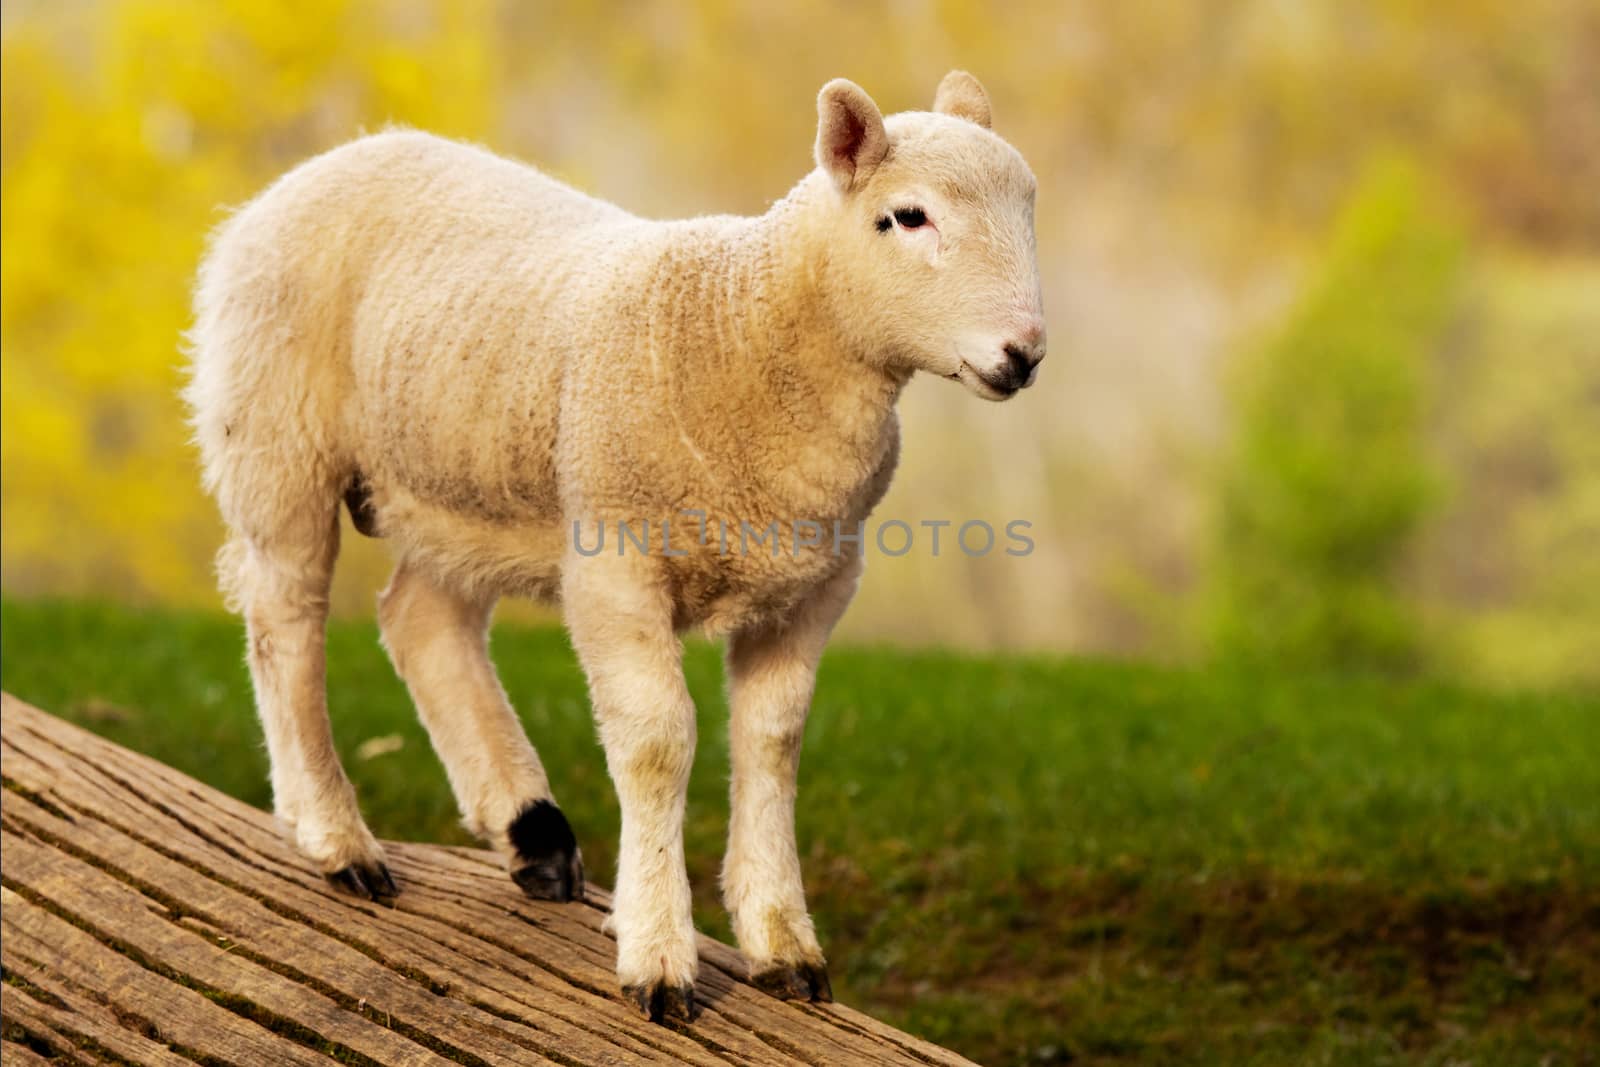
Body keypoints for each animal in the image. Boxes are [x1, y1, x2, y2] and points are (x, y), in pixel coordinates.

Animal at [184, 70, 1049, 1023]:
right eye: (907, 217)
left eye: (1028, 208)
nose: (1025, 354)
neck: (746, 323)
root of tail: (325, 164)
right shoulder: (615, 561)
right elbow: (658, 740)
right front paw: (660, 955)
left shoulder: (815, 586)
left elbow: (773, 740)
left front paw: (783, 944)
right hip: (278, 434)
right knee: (286, 618)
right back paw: (337, 837)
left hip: (459, 484)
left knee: (421, 620)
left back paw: (531, 833)